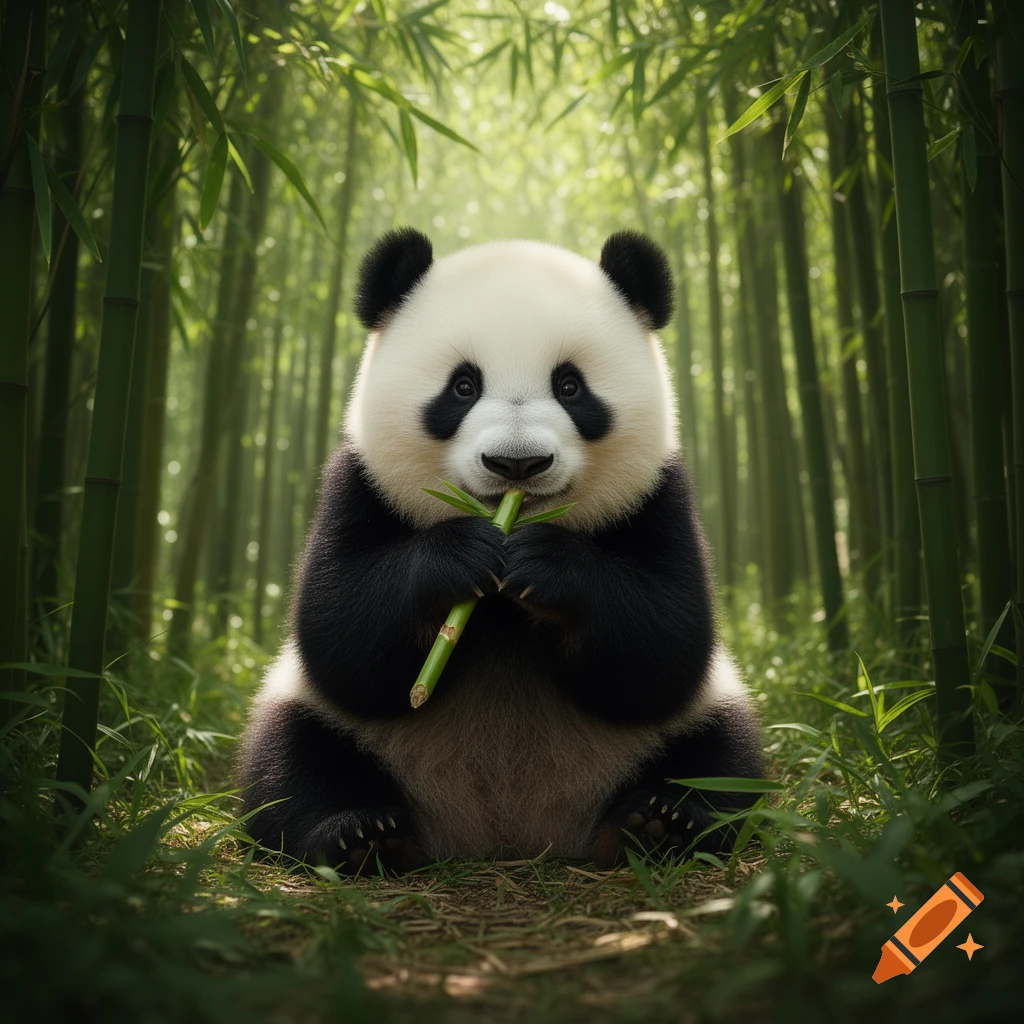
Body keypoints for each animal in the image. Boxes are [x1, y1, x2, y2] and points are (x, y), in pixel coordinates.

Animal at [240, 227, 764, 873]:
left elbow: (667, 647)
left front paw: (550, 566)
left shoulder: (660, 496)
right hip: (322, 719)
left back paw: (660, 824)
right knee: (292, 761)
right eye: (463, 387)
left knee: (723, 763)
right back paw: (360, 835)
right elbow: (340, 637)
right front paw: (460, 558)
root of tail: (500, 834)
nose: (517, 464)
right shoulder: (357, 484)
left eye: (570, 386)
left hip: (695, 718)